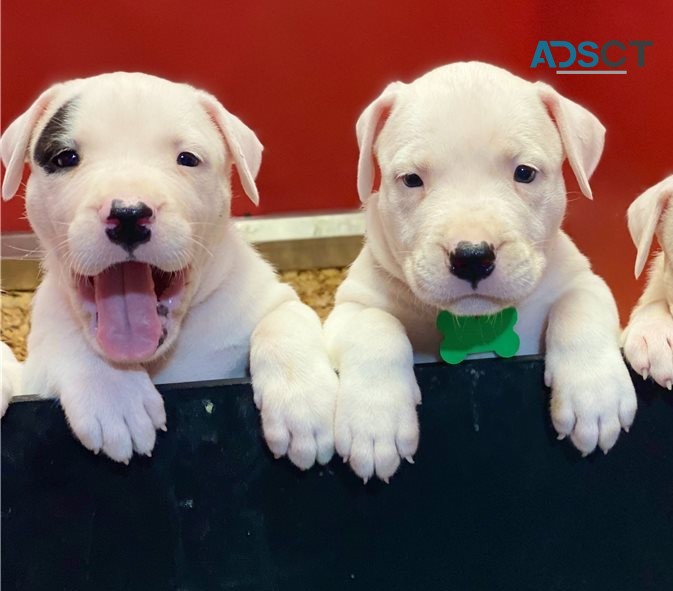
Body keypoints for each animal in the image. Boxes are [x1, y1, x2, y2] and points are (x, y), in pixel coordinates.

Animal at [0, 70, 336, 468]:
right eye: (66, 157)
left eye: (187, 158)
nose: (129, 214)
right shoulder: (39, 360)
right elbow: (66, 338)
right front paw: (116, 396)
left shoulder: (270, 298)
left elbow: (283, 319)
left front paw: (304, 405)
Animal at [324, 61, 636, 486]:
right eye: (411, 179)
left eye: (525, 173)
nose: (472, 257)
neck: (474, 325)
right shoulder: (349, 308)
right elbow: (373, 324)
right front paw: (374, 422)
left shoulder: (582, 279)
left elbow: (579, 305)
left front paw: (595, 393)